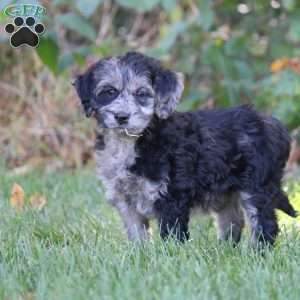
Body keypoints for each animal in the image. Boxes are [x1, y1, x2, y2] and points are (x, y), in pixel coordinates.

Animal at [74, 51, 296, 244]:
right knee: (232, 221)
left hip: (256, 185)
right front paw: (139, 256)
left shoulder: (171, 196)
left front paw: (168, 257)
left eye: (141, 94)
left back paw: (256, 252)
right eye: (109, 92)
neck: (134, 140)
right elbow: (137, 236)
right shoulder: (126, 201)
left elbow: (171, 235)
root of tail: (273, 125)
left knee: (264, 223)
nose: (121, 117)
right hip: (226, 192)